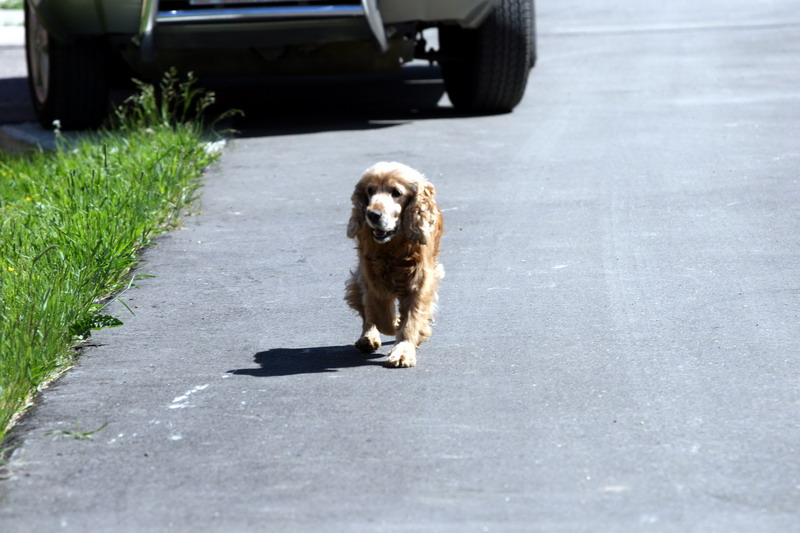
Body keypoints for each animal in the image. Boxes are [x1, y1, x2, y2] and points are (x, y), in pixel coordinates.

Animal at [344, 161, 444, 366]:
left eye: (396, 192)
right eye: (370, 190)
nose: (372, 214)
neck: (393, 246)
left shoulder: (420, 280)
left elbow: (412, 318)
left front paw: (403, 351)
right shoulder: (372, 277)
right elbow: (382, 316)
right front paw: (397, 323)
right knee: (367, 312)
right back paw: (368, 337)